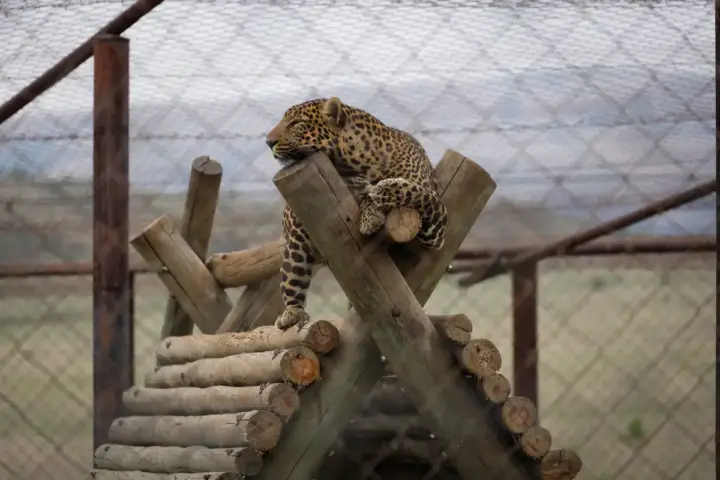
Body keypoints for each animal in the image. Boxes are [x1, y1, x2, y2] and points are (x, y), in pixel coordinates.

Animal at [265, 96, 449, 330]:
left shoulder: (436, 227)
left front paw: (380, 196)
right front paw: (372, 212)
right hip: (296, 241)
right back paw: (292, 313)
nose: (268, 142)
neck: (359, 163)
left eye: (296, 123)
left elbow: (417, 192)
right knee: (292, 276)